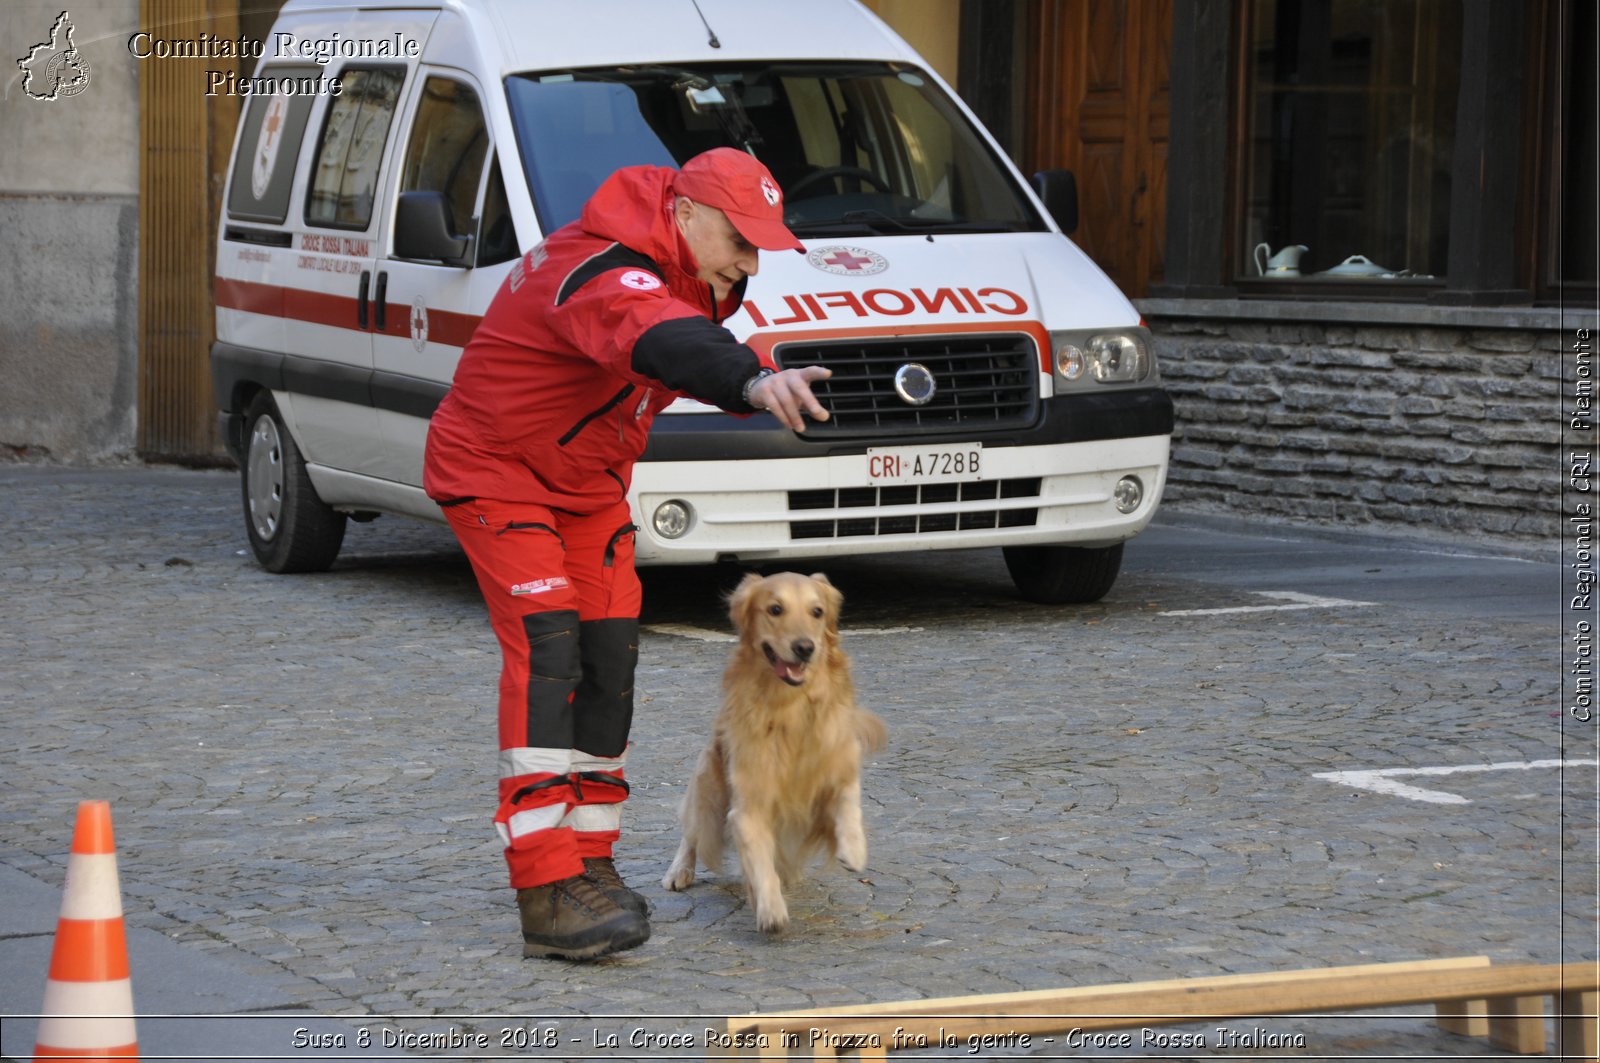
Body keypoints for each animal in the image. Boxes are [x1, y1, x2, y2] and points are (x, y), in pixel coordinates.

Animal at [662, 573, 889, 928]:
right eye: (775, 609)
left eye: (817, 611)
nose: (805, 647)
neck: (790, 708)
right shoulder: (748, 805)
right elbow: (759, 862)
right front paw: (770, 910)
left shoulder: (837, 764)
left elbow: (848, 802)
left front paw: (853, 849)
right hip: (711, 785)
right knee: (693, 829)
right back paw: (679, 871)